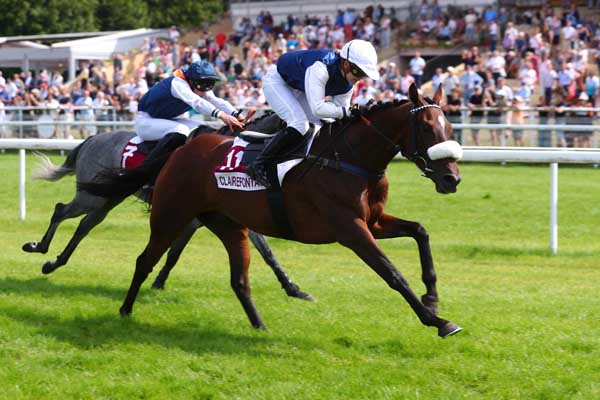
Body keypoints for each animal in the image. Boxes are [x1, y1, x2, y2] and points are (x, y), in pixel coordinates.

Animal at [21, 114, 312, 298]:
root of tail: (91, 139)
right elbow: (175, 252)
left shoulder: (203, 219)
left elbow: (266, 254)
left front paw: (294, 288)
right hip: (91, 195)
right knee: (61, 210)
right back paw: (39, 247)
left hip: (108, 197)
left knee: (85, 225)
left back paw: (55, 262)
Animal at [79, 84, 464, 338]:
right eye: (426, 127)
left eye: (450, 127)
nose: (452, 178)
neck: (347, 159)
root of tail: (186, 145)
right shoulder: (350, 229)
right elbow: (391, 272)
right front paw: (438, 321)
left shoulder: (373, 221)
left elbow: (420, 231)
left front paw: (432, 298)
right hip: (170, 215)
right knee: (144, 259)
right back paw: (125, 309)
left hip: (229, 226)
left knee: (238, 279)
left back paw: (259, 325)